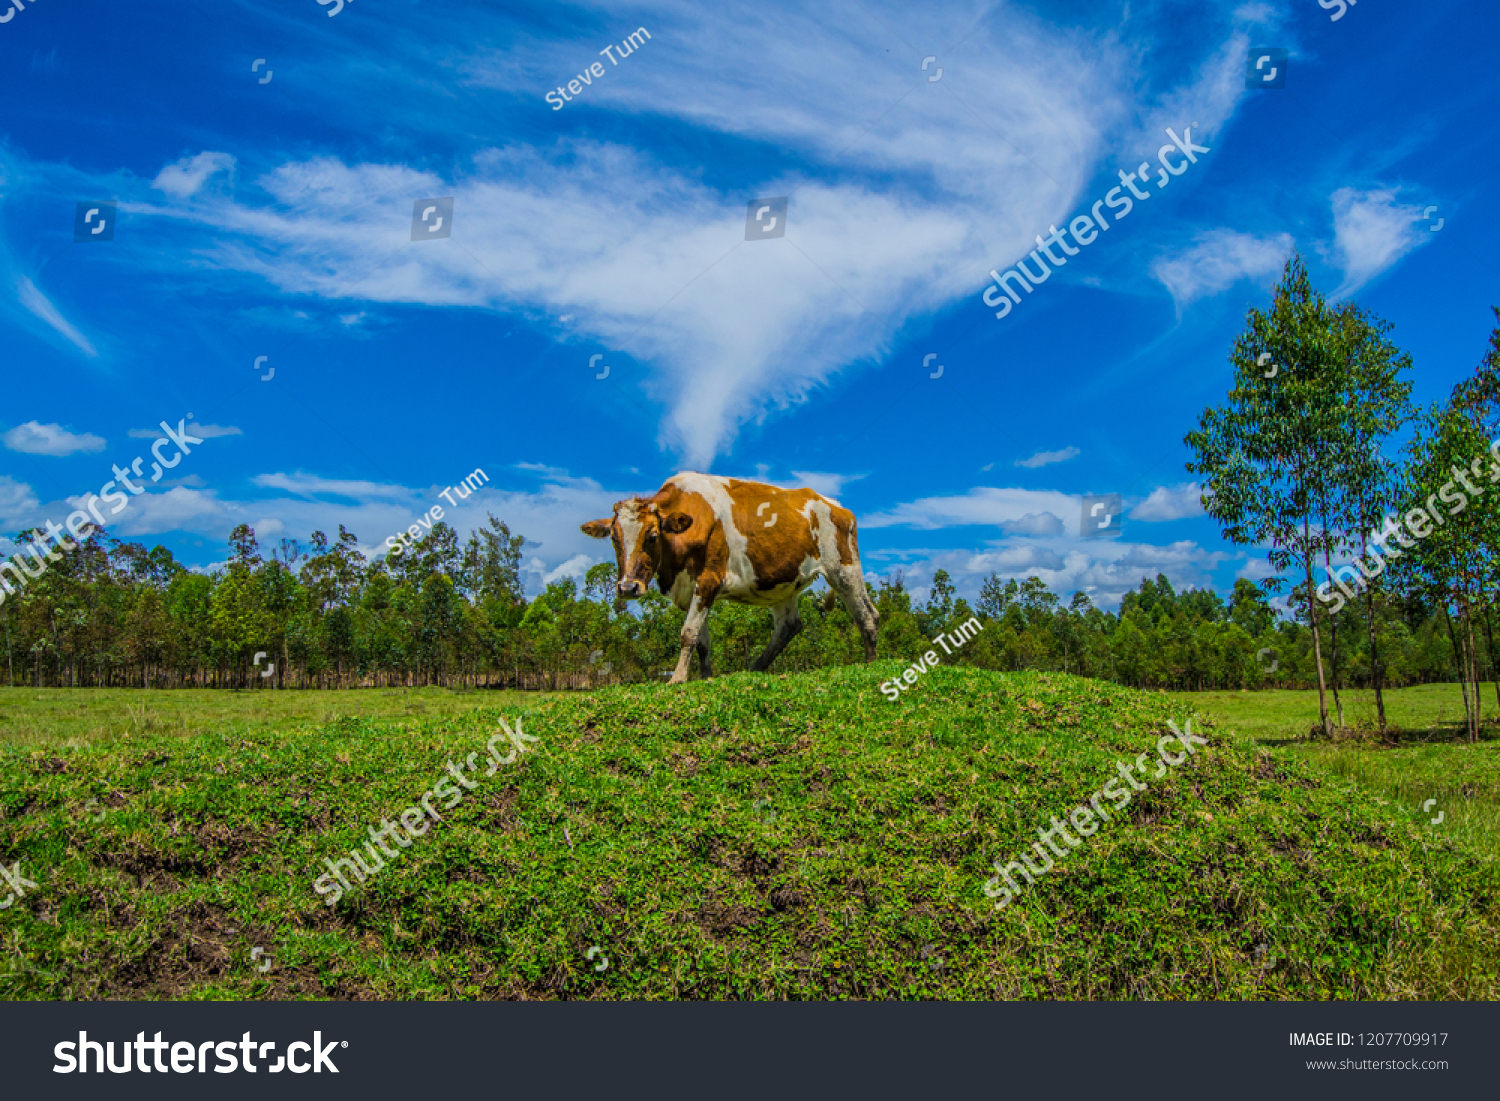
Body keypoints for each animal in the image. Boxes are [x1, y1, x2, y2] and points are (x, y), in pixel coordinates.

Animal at [576, 471, 876, 687]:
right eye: (614, 538)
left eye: (651, 536)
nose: (628, 587)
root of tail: (837, 506)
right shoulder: (690, 591)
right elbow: (701, 641)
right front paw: (704, 677)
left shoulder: (709, 580)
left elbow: (688, 633)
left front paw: (677, 678)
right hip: (781, 584)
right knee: (789, 626)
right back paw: (754, 668)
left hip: (844, 568)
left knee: (867, 614)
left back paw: (871, 662)